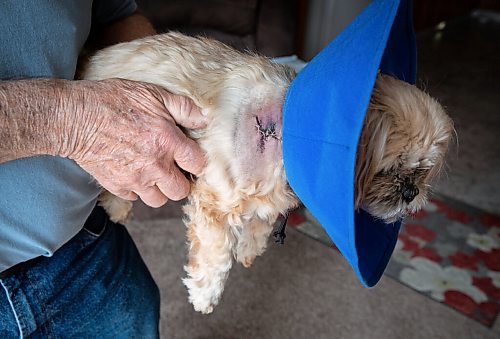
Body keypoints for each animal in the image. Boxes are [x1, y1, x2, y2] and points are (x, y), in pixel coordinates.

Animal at [81, 31, 454, 314]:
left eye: (422, 173)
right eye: (391, 169)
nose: (411, 192)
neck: (284, 133)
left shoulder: (266, 197)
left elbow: (261, 220)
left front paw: (249, 248)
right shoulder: (214, 200)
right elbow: (218, 255)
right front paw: (205, 293)